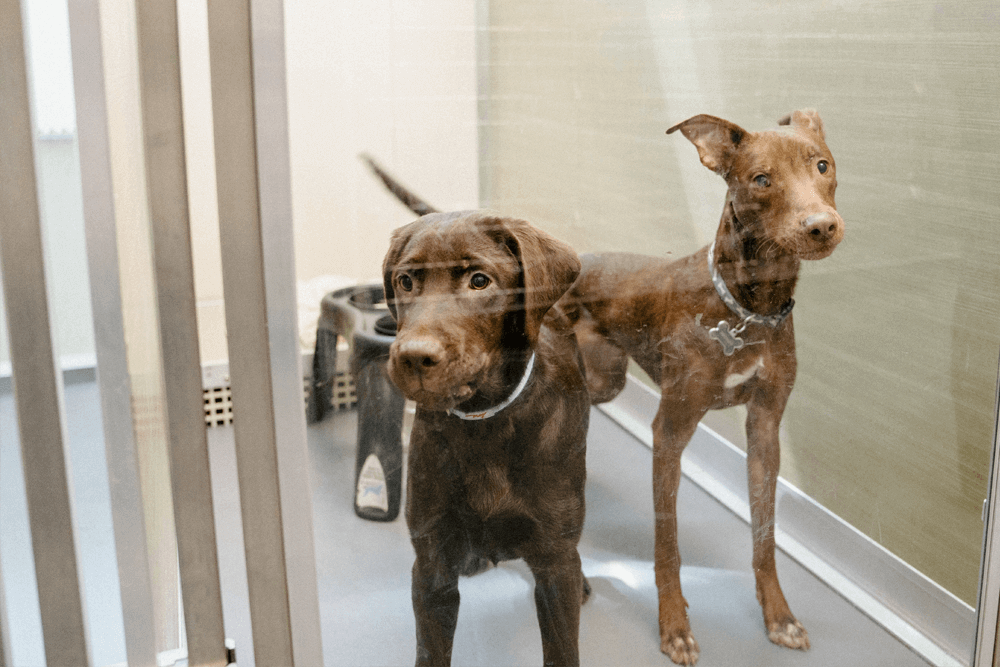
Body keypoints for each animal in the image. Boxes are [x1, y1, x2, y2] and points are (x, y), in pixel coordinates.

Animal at [378, 210, 588, 667]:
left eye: (479, 281)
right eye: (406, 281)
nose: (413, 357)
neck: (484, 420)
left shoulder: (554, 564)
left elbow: (562, 648)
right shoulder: (432, 566)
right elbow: (431, 651)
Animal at [564, 109, 844, 664]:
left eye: (822, 165)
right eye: (761, 180)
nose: (821, 227)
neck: (749, 308)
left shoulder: (765, 428)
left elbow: (765, 538)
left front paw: (778, 616)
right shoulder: (669, 431)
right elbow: (666, 544)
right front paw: (673, 626)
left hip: (603, 380)